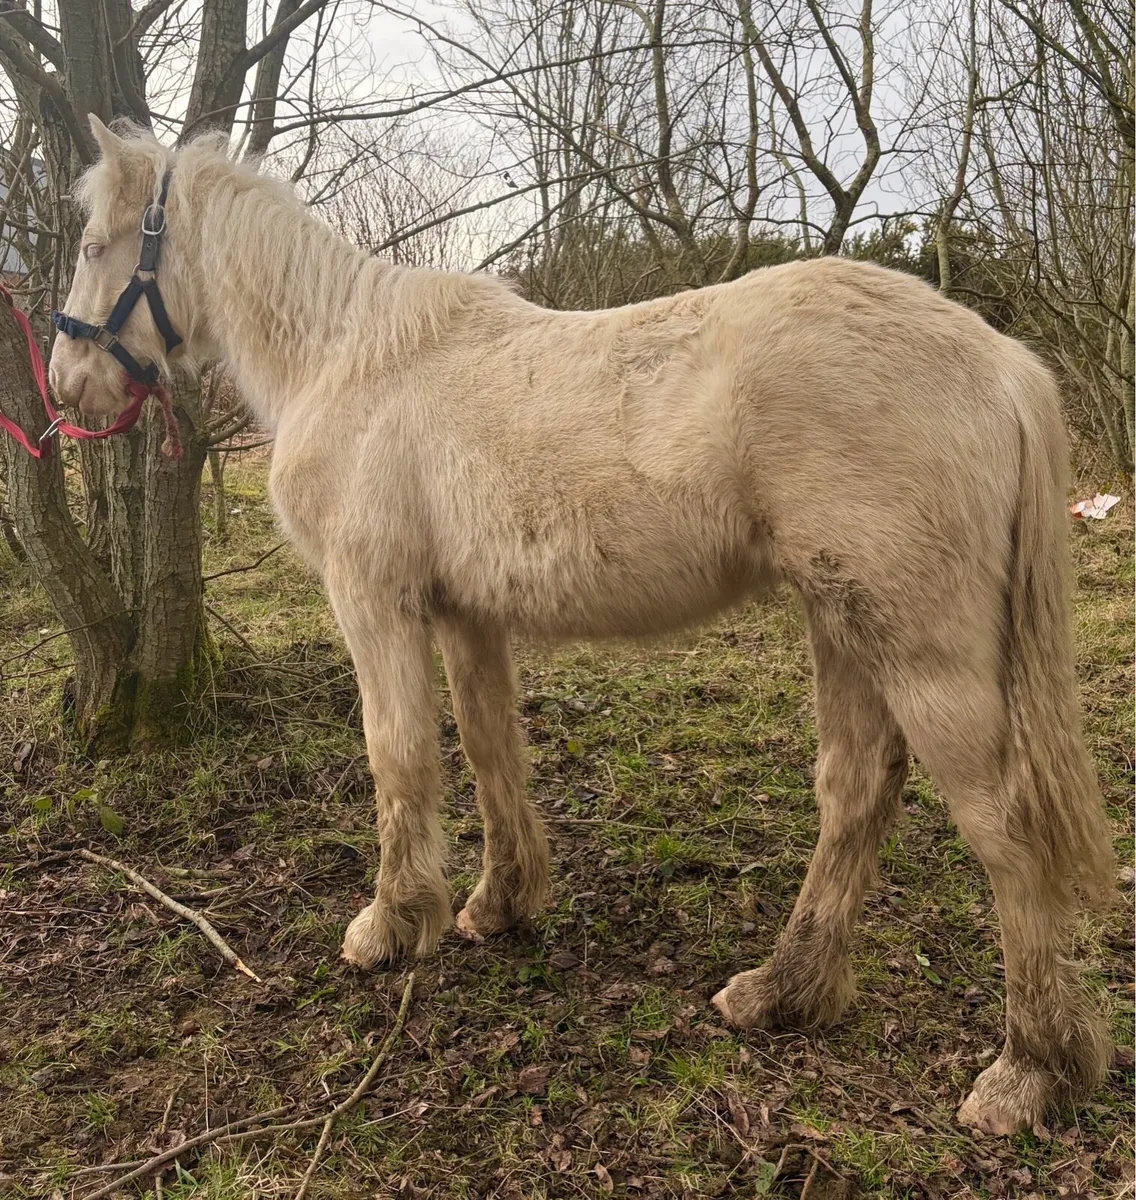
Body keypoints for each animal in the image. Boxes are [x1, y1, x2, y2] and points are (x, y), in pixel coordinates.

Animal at [50, 115, 1115, 1136]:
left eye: (97, 244)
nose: (66, 385)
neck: (346, 356)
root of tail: (1002, 364)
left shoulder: (374, 602)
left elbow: (398, 755)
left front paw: (391, 926)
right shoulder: (467, 616)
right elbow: (489, 750)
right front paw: (498, 903)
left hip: (918, 646)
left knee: (1003, 824)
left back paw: (1027, 1073)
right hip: (843, 623)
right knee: (856, 792)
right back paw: (783, 992)